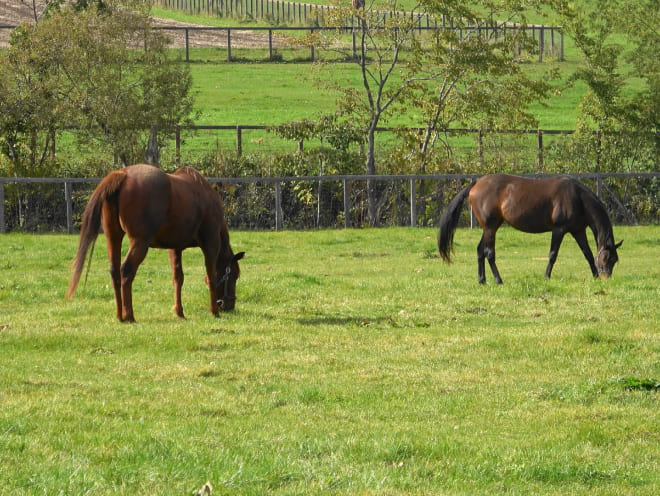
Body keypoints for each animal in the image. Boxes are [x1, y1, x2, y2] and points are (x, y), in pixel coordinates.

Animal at [67, 165, 245, 324]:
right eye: (234, 275)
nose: (229, 305)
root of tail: (123, 174)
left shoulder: (175, 248)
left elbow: (178, 278)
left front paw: (180, 312)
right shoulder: (211, 244)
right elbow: (211, 276)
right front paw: (214, 312)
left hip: (113, 237)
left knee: (114, 271)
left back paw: (119, 315)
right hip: (139, 242)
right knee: (126, 270)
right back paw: (129, 315)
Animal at [438, 173, 620, 282]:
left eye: (614, 260)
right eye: (607, 259)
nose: (606, 278)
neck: (577, 197)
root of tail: (476, 184)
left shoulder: (578, 230)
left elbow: (587, 254)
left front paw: (594, 276)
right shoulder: (559, 229)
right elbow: (553, 255)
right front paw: (546, 276)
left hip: (490, 228)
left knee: (479, 251)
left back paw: (482, 280)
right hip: (490, 228)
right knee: (489, 253)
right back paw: (498, 280)